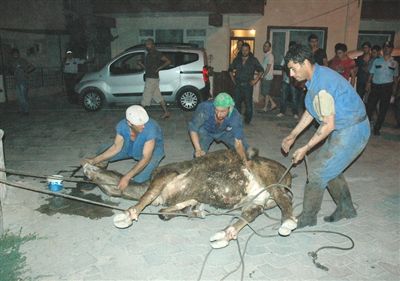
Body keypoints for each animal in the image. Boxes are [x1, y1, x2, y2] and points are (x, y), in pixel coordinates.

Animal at [83, 149, 296, 247]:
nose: (86, 167)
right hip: (258, 199)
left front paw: (128, 215)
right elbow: (163, 213)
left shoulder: (166, 173)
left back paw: (288, 222)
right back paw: (224, 235)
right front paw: (196, 212)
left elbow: (147, 196)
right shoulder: (186, 198)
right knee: (250, 214)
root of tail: (289, 175)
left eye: (97, 168)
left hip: (267, 176)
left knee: (282, 197)